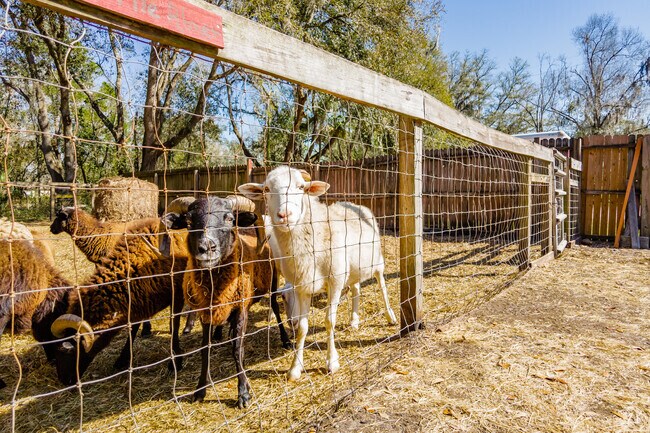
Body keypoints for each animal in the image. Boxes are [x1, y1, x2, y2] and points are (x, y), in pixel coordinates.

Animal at [160, 195, 291, 408]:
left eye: (229, 219)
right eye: (188, 222)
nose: (207, 248)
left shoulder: (241, 308)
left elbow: (238, 350)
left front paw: (243, 393)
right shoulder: (206, 311)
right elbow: (204, 350)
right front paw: (200, 390)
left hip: (271, 284)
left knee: (276, 309)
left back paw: (286, 339)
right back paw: (221, 332)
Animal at [239, 165, 397, 382]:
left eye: (300, 187)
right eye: (267, 189)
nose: (284, 215)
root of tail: (353, 204)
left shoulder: (335, 281)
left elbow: (329, 321)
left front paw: (332, 362)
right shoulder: (302, 285)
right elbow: (303, 327)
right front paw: (295, 368)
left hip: (376, 261)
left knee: (382, 286)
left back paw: (391, 316)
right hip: (351, 268)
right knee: (356, 289)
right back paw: (354, 320)